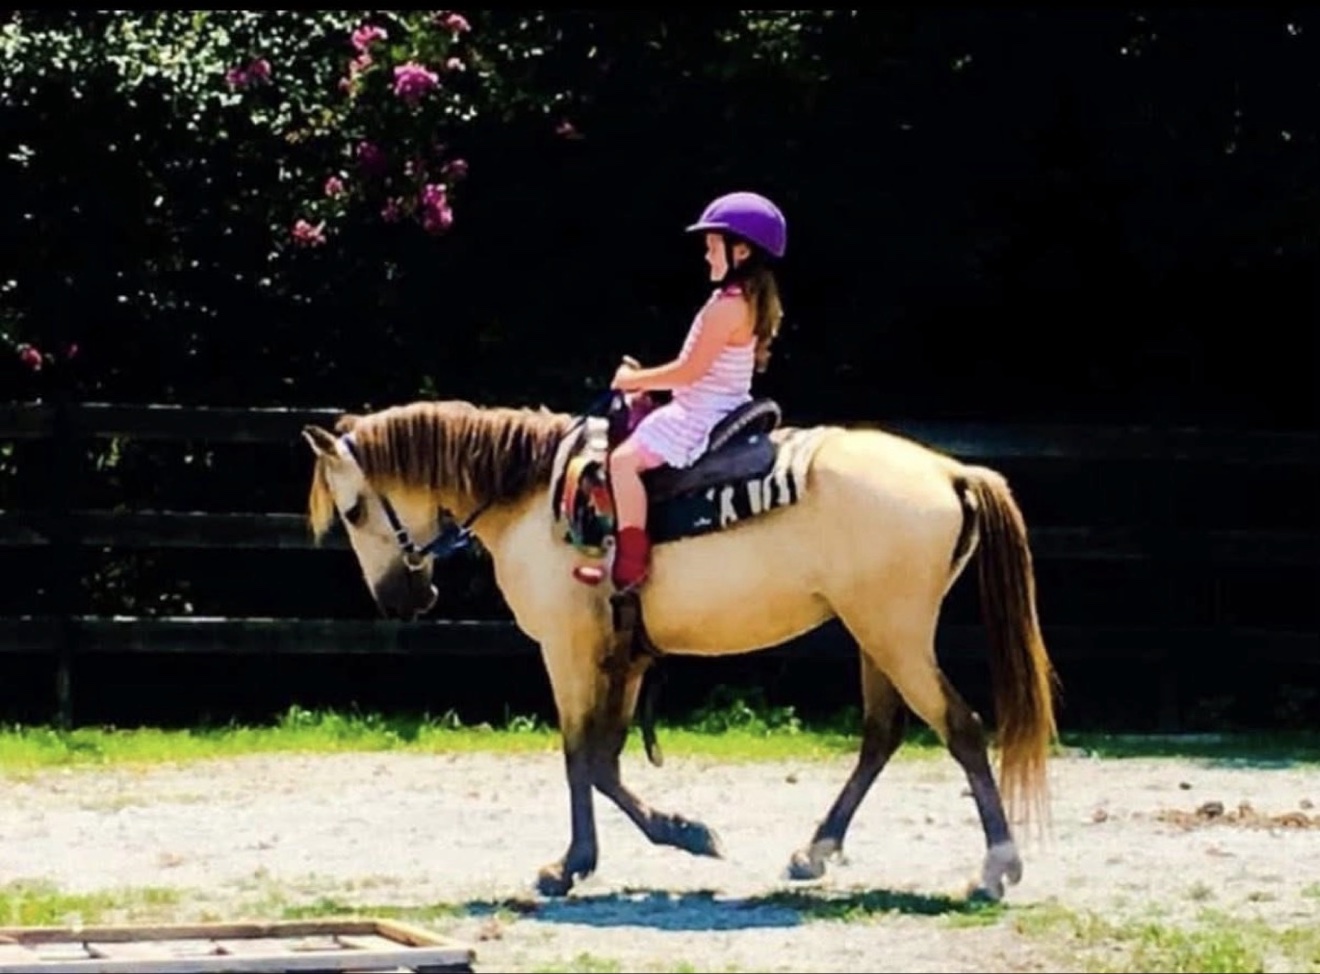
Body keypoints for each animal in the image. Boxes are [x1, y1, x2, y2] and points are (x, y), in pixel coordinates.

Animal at [301, 393, 1059, 901]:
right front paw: (682, 832)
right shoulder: (627, 655)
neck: (532, 496)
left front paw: (569, 865)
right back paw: (814, 851)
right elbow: (605, 762)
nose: (401, 600)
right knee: (882, 735)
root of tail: (951, 474)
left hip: (896, 635)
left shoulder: (568, 649)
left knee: (960, 728)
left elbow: (578, 756)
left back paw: (995, 867)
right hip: (875, 635)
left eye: (355, 510)